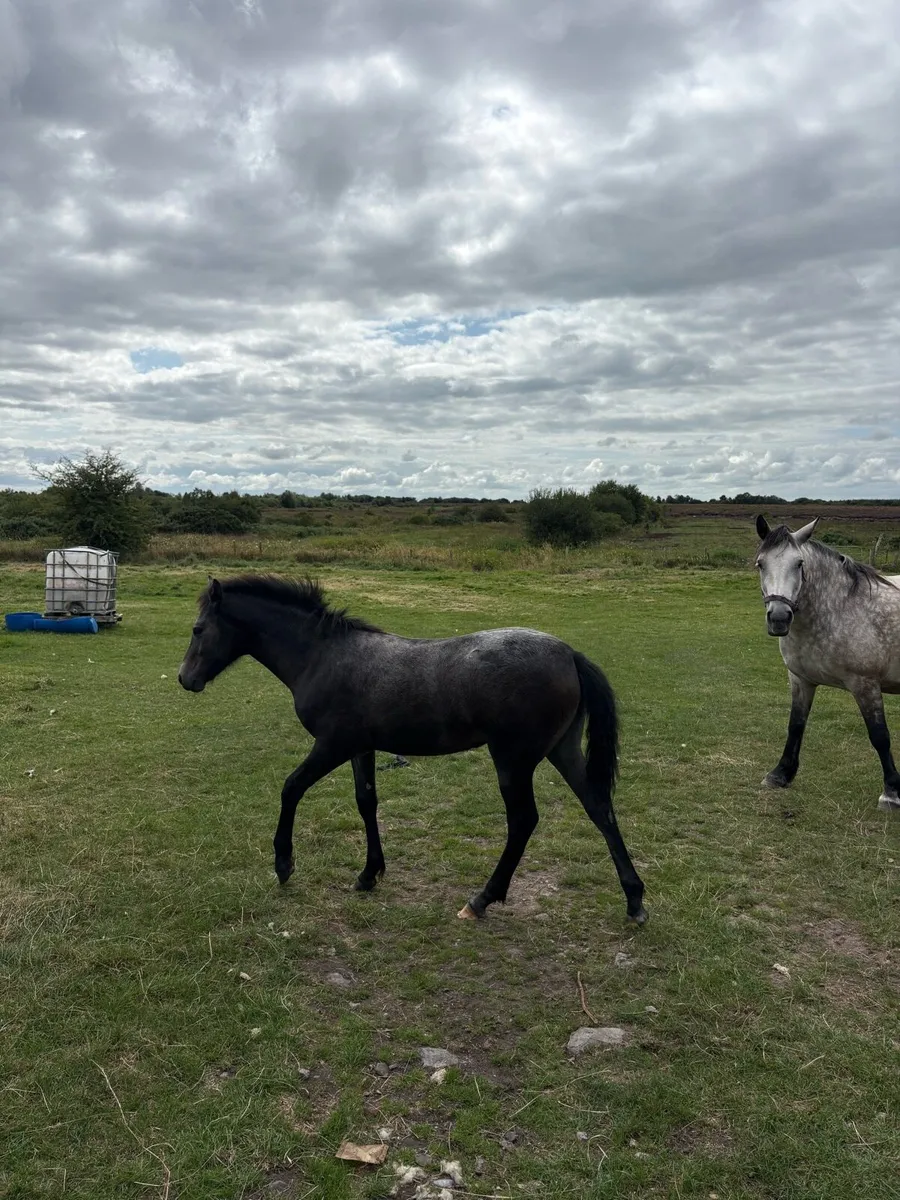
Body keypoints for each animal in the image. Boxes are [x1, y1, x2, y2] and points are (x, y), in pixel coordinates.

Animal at [177, 575, 647, 923]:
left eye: (198, 629)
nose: (185, 678)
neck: (323, 657)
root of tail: (570, 654)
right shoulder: (361, 747)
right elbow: (366, 801)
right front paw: (369, 874)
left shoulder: (332, 744)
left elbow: (291, 788)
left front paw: (284, 863)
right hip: (561, 750)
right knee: (598, 807)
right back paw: (635, 900)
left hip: (512, 760)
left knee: (523, 821)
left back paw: (481, 899)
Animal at [755, 516, 900, 811]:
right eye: (760, 564)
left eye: (799, 564)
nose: (779, 618)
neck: (838, 610)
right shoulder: (800, 680)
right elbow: (795, 725)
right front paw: (780, 774)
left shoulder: (866, 685)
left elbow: (880, 735)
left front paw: (891, 792)